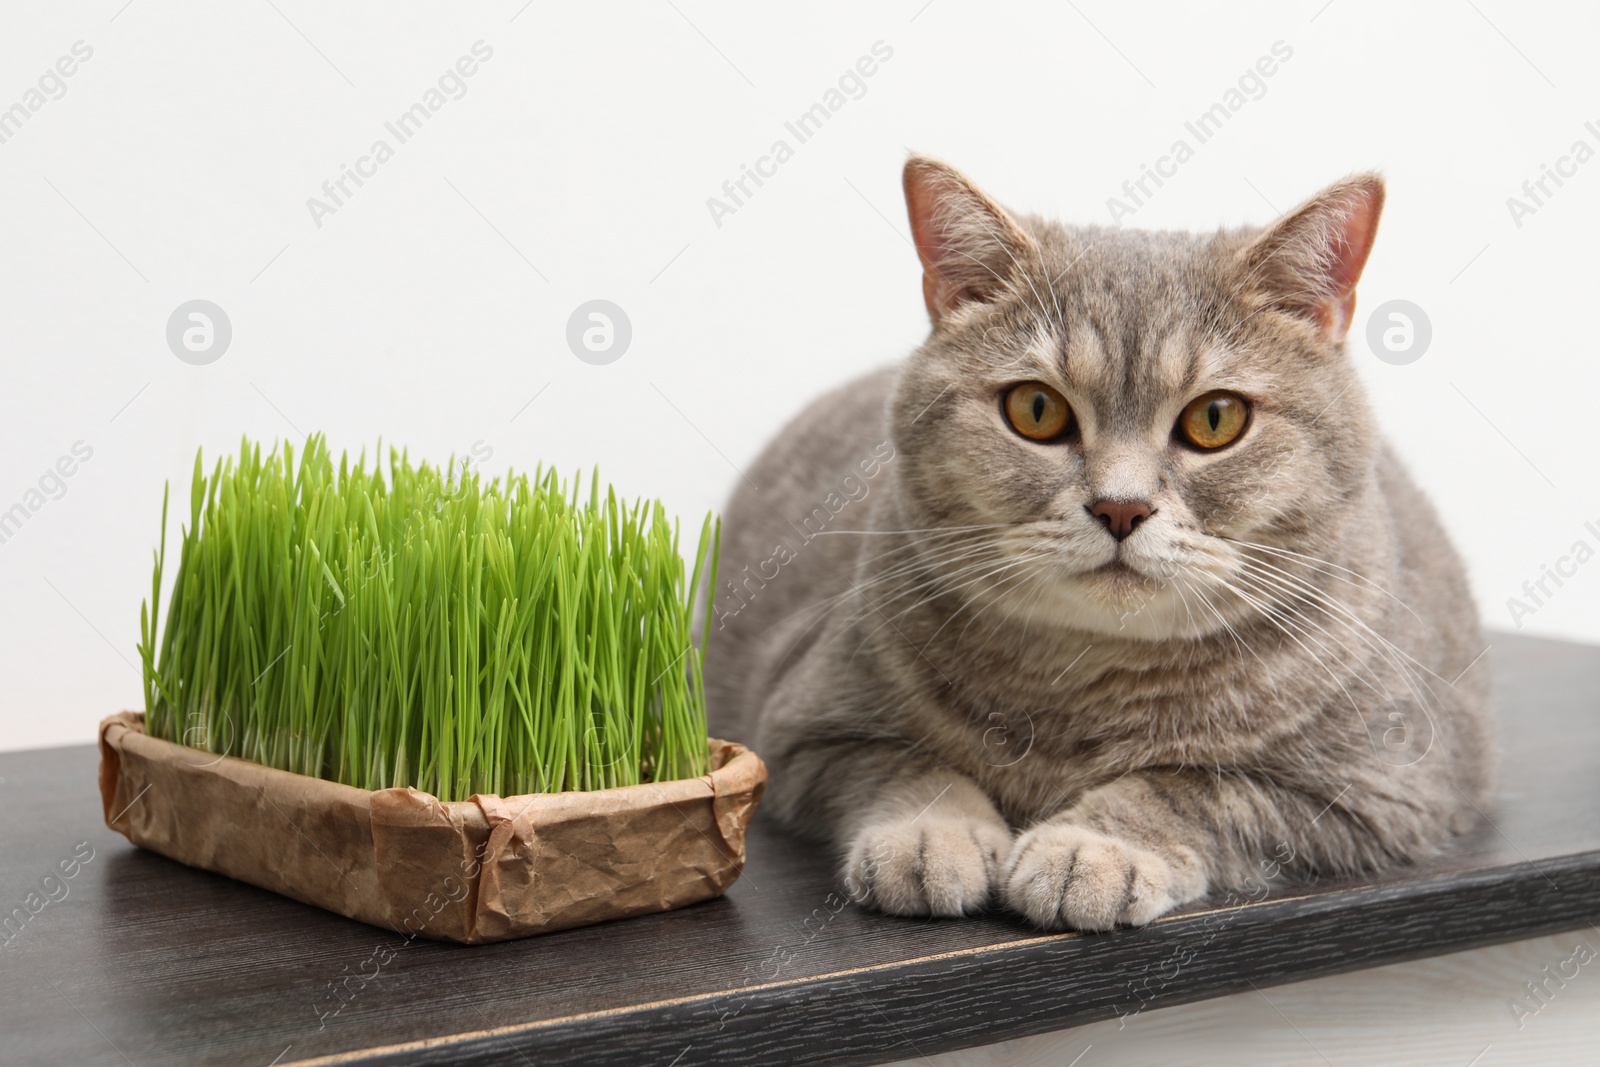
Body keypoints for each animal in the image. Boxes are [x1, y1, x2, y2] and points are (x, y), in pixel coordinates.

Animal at [707, 154, 1491, 927]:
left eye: (1215, 418)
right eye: (1036, 409)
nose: (1121, 507)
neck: (1086, 685)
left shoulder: (1378, 793)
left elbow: (1188, 787)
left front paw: (1089, 849)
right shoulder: (803, 727)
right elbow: (907, 765)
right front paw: (933, 835)